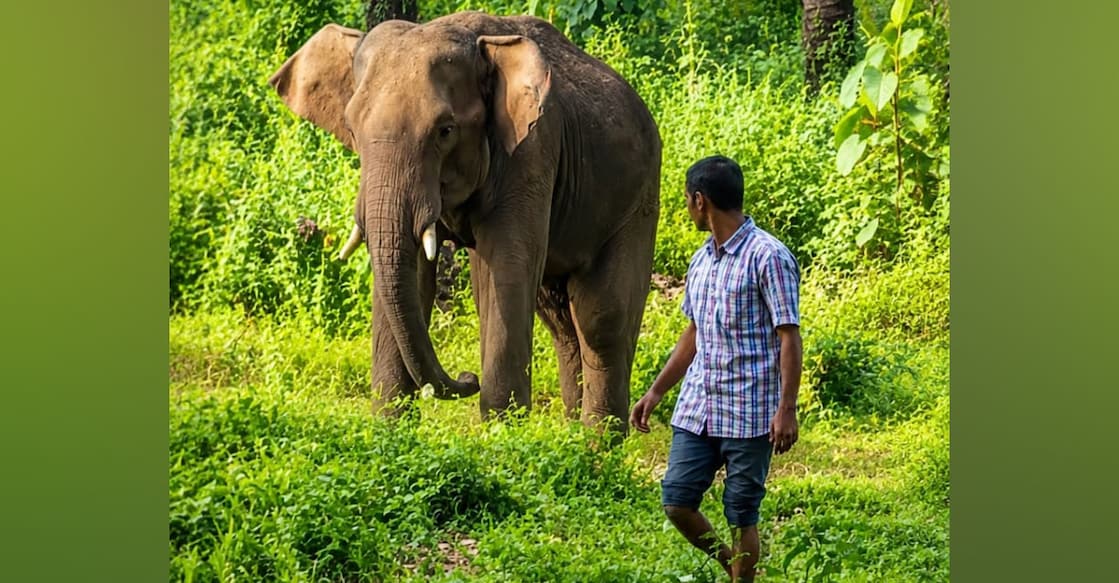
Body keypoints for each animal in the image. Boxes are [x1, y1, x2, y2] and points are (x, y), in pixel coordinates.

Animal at [268, 11, 661, 434]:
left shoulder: (533, 149)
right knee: (559, 319)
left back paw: (598, 441)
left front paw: (502, 433)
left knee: (601, 318)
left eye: (445, 131)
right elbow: (413, 271)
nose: (468, 378)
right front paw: (390, 428)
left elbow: (507, 267)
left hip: (638, 200)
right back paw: (571, 434)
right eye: (351, 128)